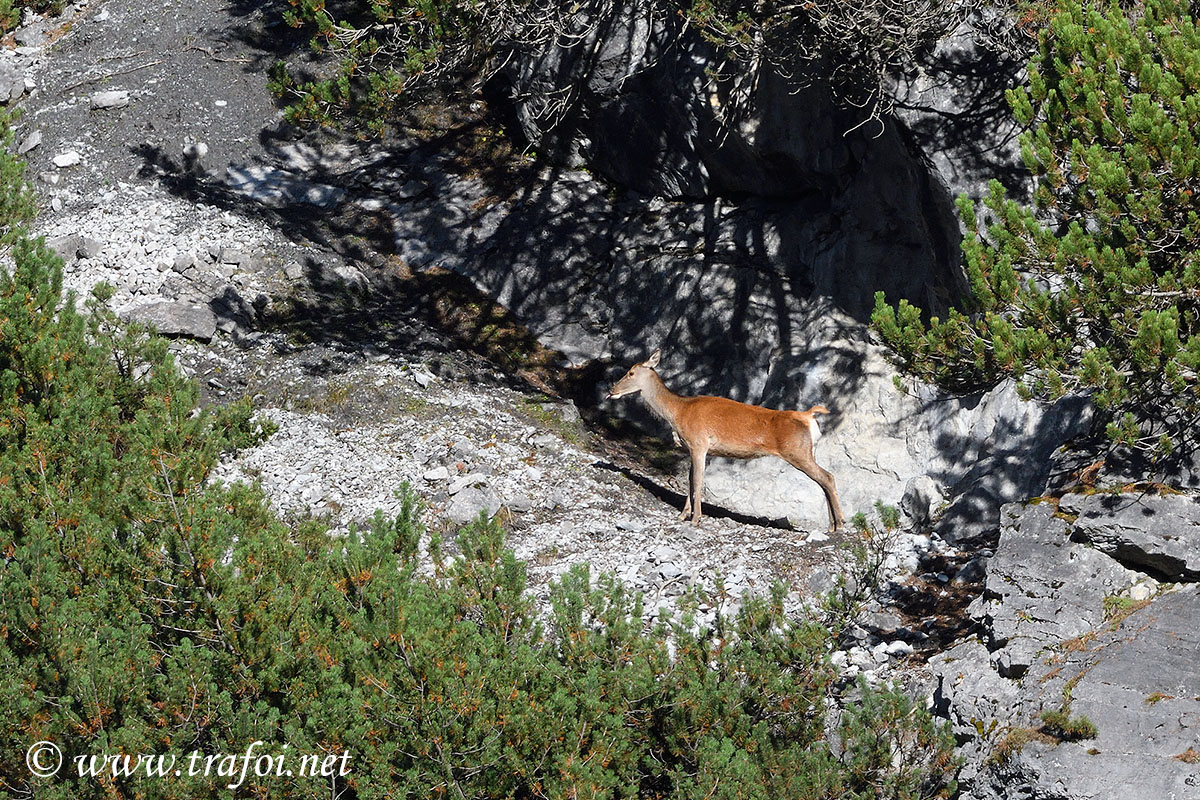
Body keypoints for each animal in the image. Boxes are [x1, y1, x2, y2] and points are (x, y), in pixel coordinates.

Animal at [605, 350, 844, 531]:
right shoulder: (695, 448)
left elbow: (698, 481)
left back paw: (840, 524)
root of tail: (809, 417)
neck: (678, 412)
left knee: (828, 477)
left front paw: (695, 519)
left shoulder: (699, 443)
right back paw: (831, 526)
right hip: (807, 451)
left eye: (631, 372)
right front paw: (683, 515)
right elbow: (690, 479)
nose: (611, 390)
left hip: (796, 451)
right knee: (824, 480)